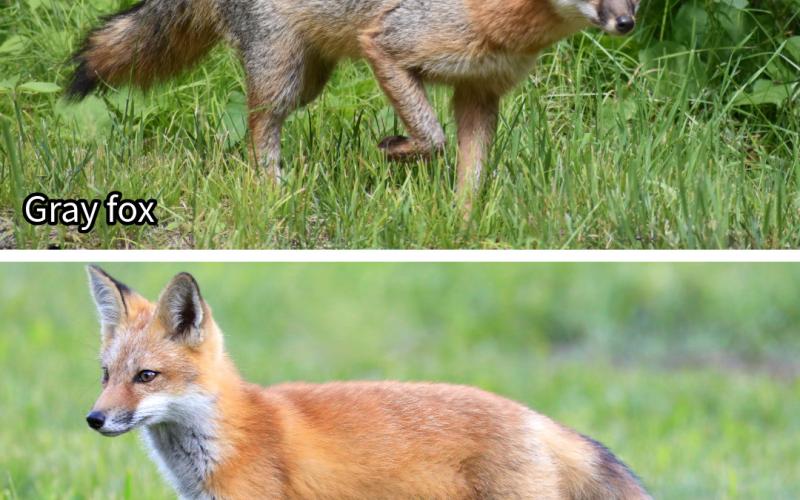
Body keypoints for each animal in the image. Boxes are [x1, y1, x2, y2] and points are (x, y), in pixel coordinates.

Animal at [67, 0, 639, 199]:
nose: (627, 23)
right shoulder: (386, 45)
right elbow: (432, 137)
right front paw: (396, 149)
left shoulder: (479, 90)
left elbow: (470, 175)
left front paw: (463, 221)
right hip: (281, 76)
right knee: (258, 130)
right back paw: (272, 190)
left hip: (308, 83)